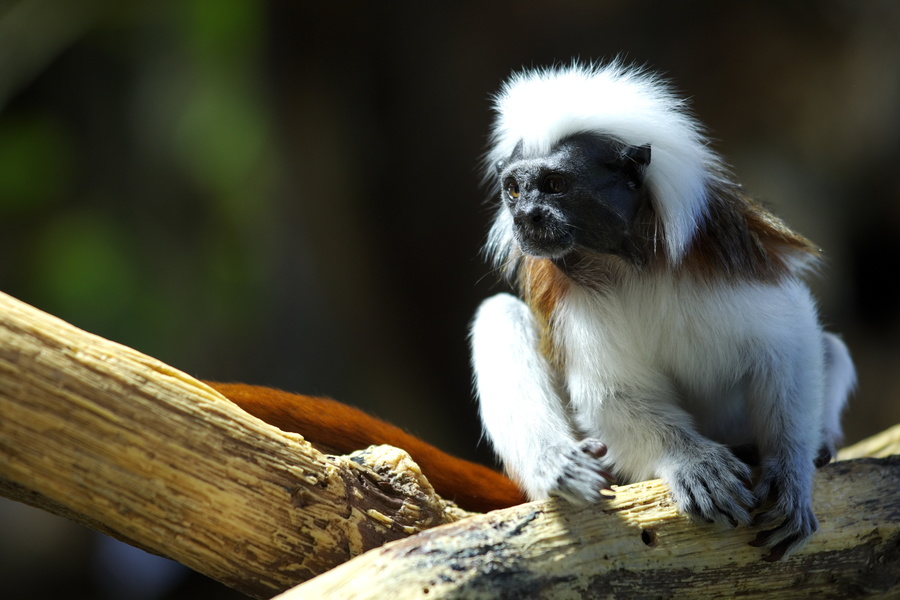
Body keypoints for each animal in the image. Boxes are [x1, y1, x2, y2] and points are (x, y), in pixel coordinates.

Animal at [470, 62, 856, 561]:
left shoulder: (724, 261)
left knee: (830, 350)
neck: (626, 261)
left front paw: (789, 472)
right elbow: (612, 394)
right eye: (514, 191)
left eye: (555, 186)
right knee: (499, 314)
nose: (526, 218)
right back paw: (560, 467)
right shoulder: (576, 303)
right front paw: (693, 462)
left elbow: (790, 344)